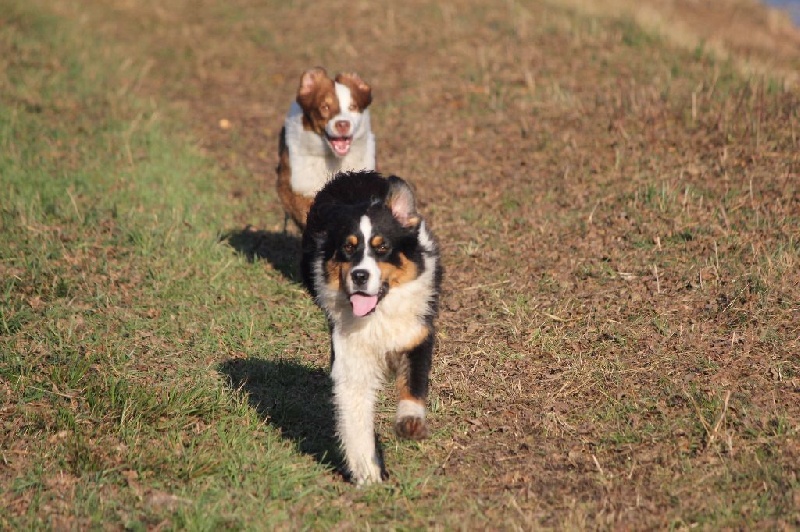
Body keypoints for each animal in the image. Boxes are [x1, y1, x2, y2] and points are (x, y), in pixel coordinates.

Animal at [302, 170, 444, 486]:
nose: (360, 276)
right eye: (348, 247)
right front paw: (369, 475)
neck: (377, 314)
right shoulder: (350, 353)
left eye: (382, 248)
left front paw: (410, 424)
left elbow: (413, 385)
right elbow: (355, 415)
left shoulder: (416, 334)